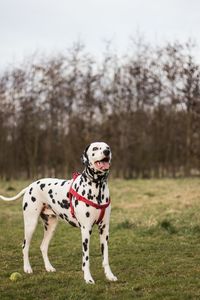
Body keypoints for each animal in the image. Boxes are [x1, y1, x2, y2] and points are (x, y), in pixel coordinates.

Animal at [0, 142, 117, 284]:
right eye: (95, 148)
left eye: (107, 147)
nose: (106, 152)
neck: (97, 186)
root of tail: (30, 186)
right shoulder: (86, 229)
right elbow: (86, 258)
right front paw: (88, 278)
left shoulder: (104, 230)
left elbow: (105, 257)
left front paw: (109, 275)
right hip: (30, 224)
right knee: (24, 246)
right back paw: (27, 268)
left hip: (51, 226)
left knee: (43, 246)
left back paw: (49, 267)